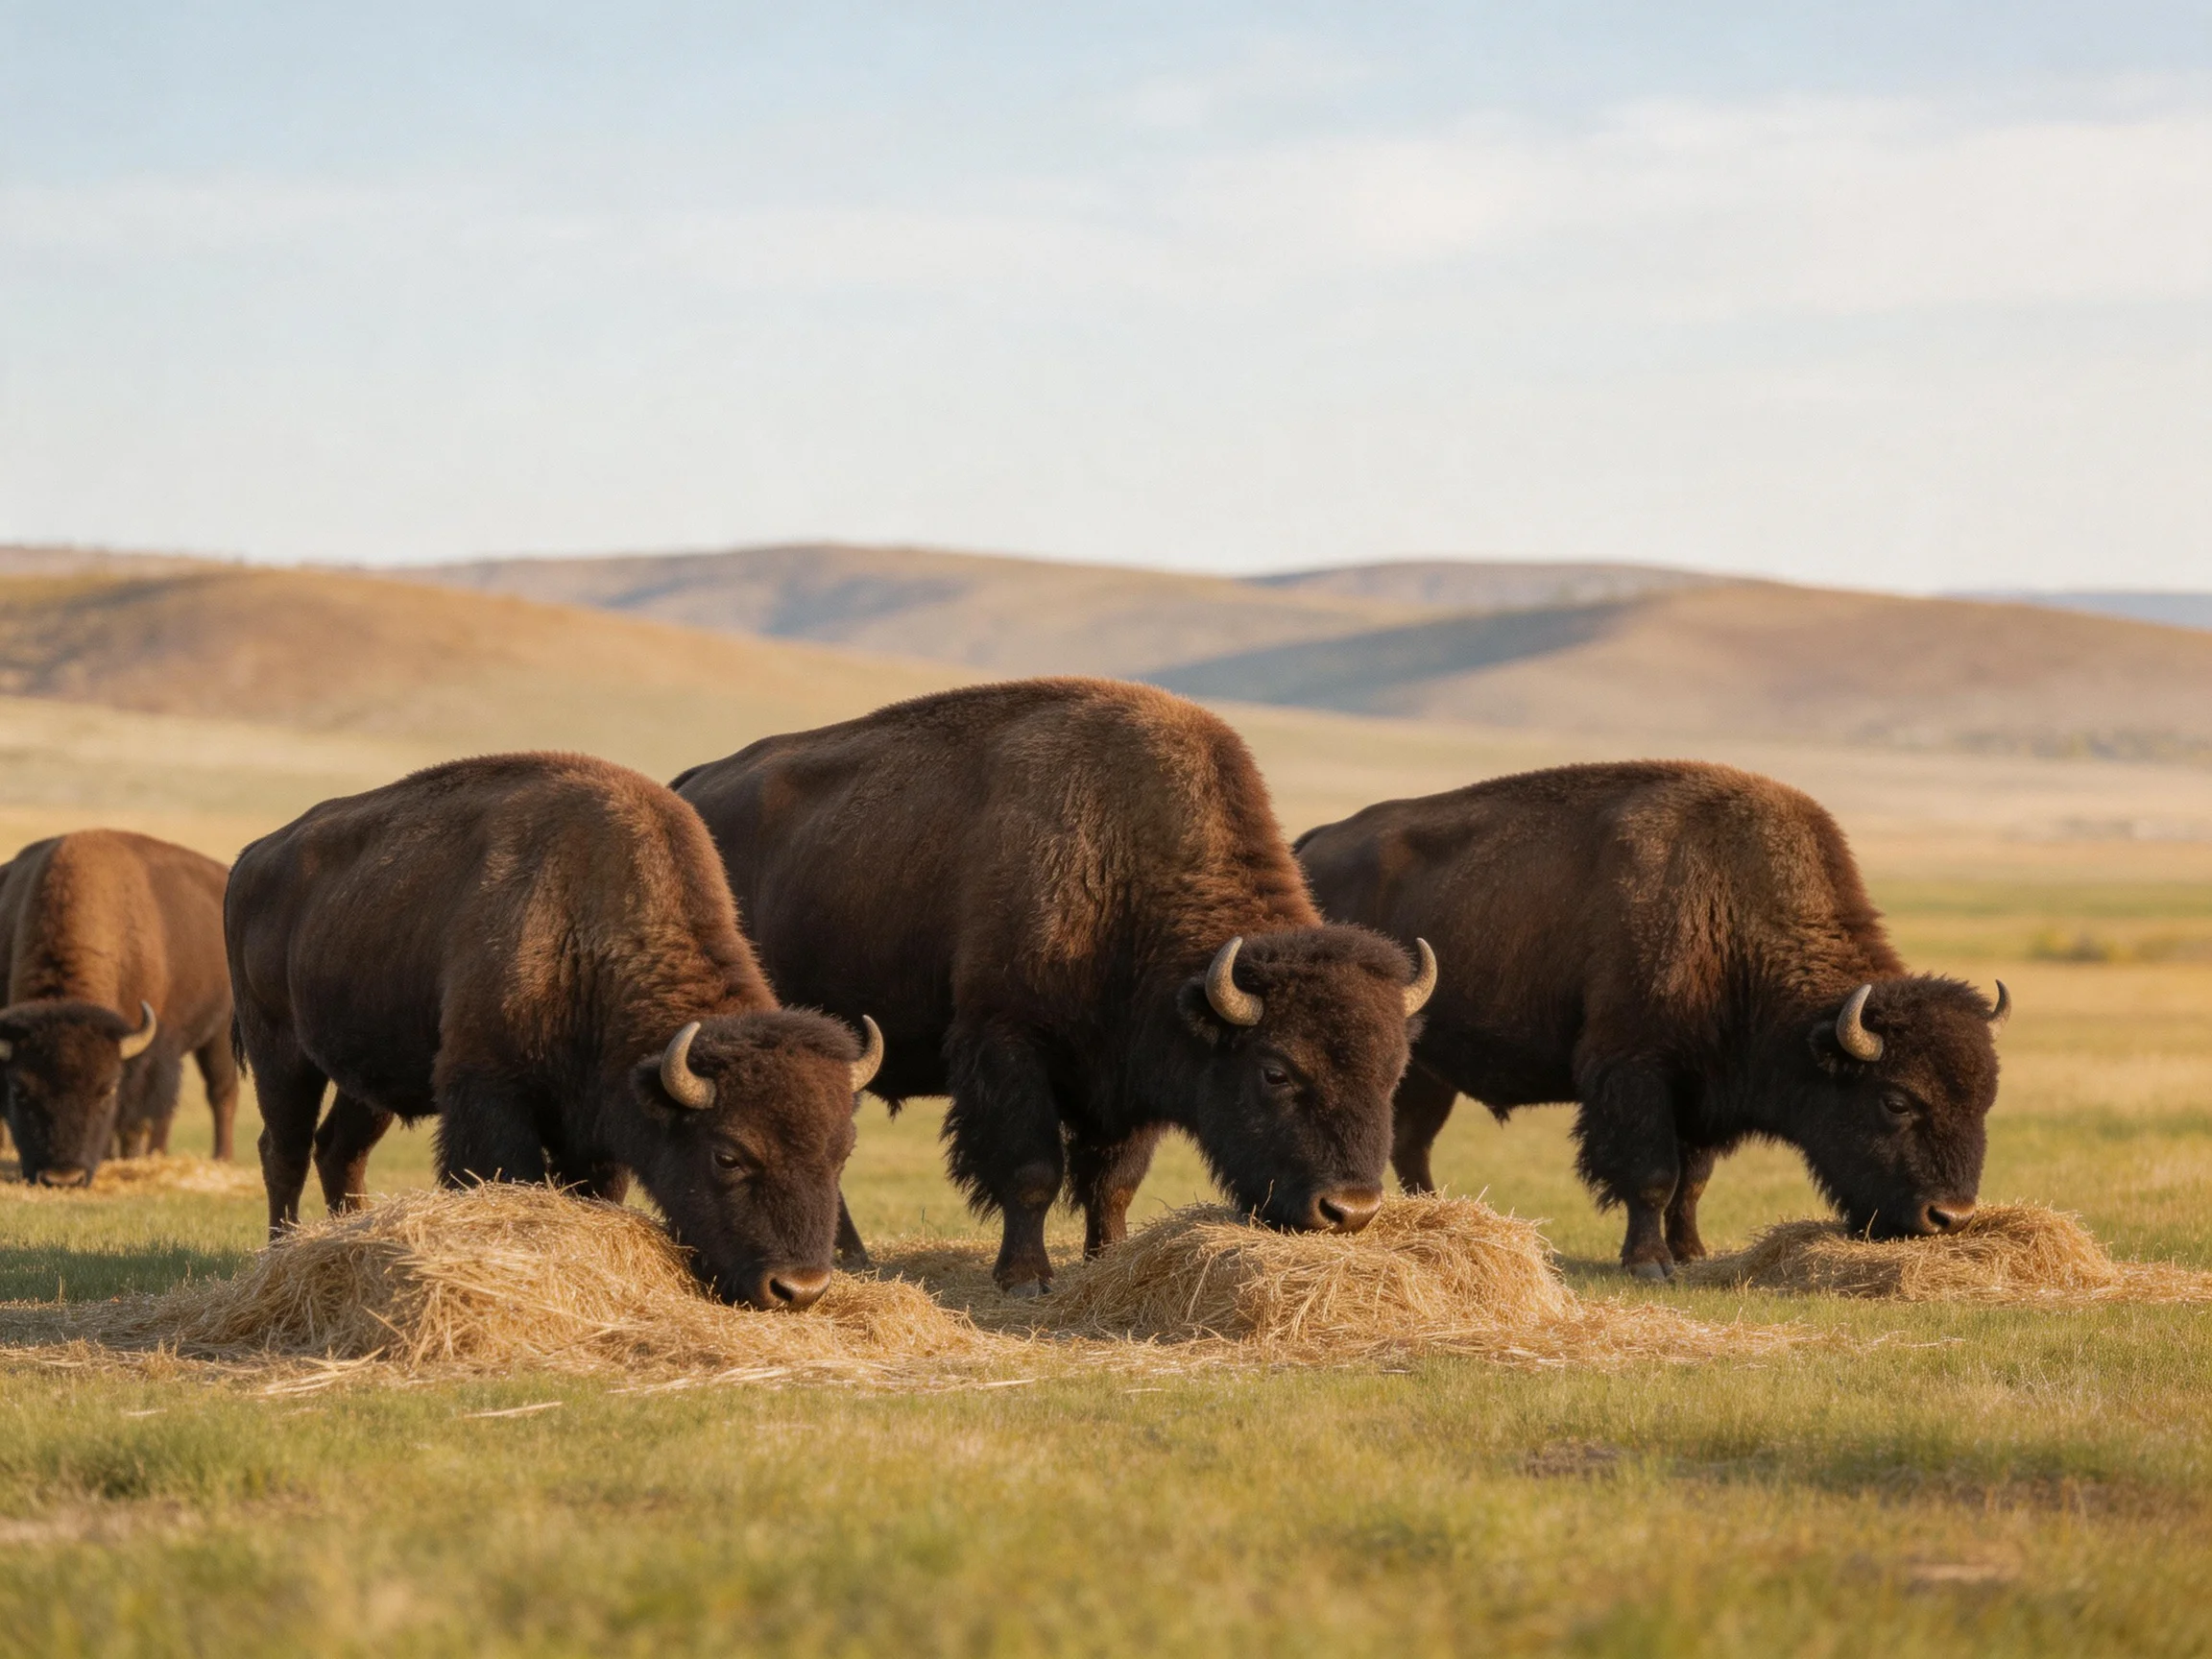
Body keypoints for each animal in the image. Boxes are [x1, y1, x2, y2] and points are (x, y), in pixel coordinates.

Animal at [0, 830, 238, 1185]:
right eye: (19, 1090)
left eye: (106, 1089)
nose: (63, 1177)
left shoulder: (145, 1059)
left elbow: (133, 1118)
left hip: (221, 1033)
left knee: (220, 1092)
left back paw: (220, 1159)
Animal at [226, 752, 883, 1310]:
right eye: (728, 1155)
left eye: (843, 1153)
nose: (798, 1288)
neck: (587, 930)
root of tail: (252, 856)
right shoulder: (486, 1093)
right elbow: (503, 1177)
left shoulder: (595, 1129)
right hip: (279, 1051)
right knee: (283, 1150)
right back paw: (281, 1254)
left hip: (367, 1078)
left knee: (340, 1149)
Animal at [673, 678, 1434, 1295]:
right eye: (1275, 1070)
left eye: (1395, 1072)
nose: (1349, 1210)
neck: (1124, 855)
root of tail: (692, 786)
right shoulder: (1009, 1047)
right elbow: (1033, 1172)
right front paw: (1025, 1277)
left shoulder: (1125, 1075)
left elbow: (1114, 1181)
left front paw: (1106, 1259)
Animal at [1295, 760, 2006, 1276]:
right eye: (1896, 1101)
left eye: (1985, 1102)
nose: (1950, 1216)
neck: (1728, 906)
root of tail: (1309, 845)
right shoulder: (1635, 1072)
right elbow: (1653, 1176)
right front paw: (1649, 1264)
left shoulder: (1701, 1091)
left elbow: (1693, 1181)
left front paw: (1691, 1253)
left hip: (1426, 1070)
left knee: (1412, 1141)